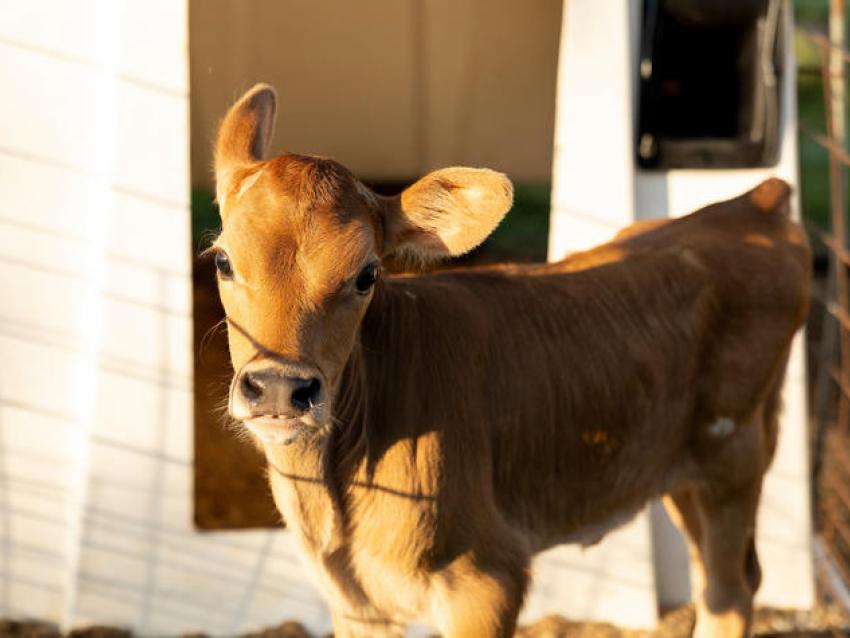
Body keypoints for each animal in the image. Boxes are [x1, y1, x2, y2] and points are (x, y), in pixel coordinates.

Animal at [209, 84, 811, 638]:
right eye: (222, 260)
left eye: (367, 274)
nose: (280, 387)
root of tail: (751, 201)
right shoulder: (357, 603)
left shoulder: (488, 576)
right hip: (679, 467)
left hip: (732, 455)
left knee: (729, 591)